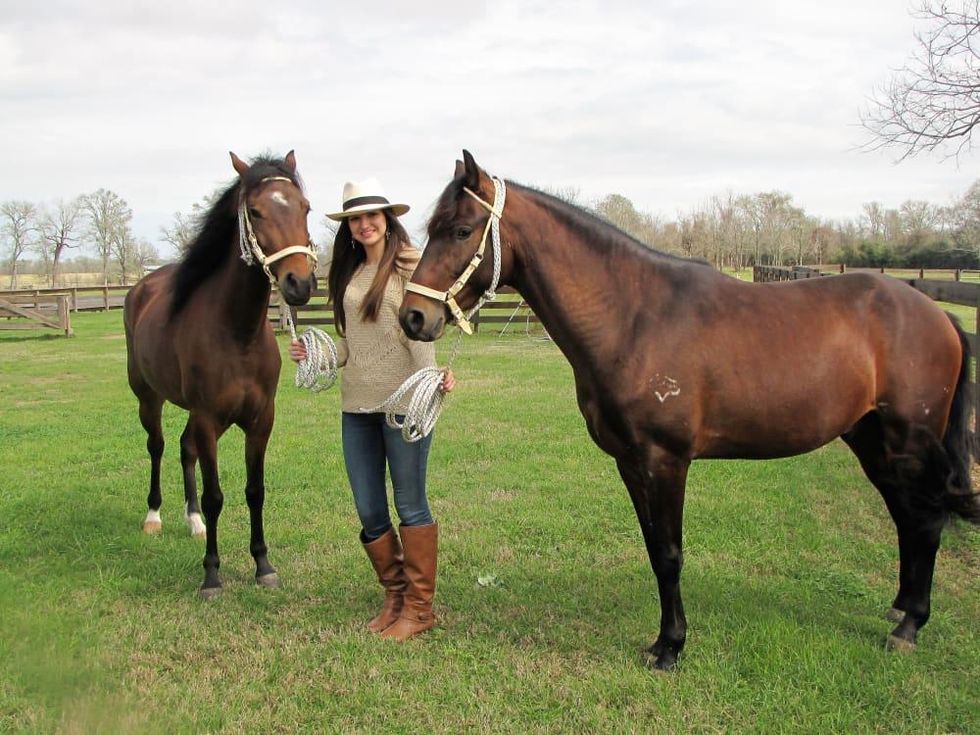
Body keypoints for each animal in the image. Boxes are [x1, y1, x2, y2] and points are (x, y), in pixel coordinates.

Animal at [124, 150, 317, 597]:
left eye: (305, 208)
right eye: (256, 211)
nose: (299, 283)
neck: (237, 332)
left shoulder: (259, 421)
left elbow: (255, 491)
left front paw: (263, 565)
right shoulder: (209, 418)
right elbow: (216, 496)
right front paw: (211, 574)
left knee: (184, 449)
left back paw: (192, 520)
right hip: (149, 398)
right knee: (158, 446)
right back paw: (154, 517)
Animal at [398, 150, 980, 670]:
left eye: (461, 230)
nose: (413, 317)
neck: (634, 317)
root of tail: (940, 316)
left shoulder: (666, 461)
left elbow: (671, 554)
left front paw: (671, 648)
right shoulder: (631, 463)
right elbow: (655, 550)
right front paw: (663, 641)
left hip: (909, 441)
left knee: (926, 517)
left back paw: (909, 626)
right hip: (870, 439)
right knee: (905, 514)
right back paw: (901, 608)